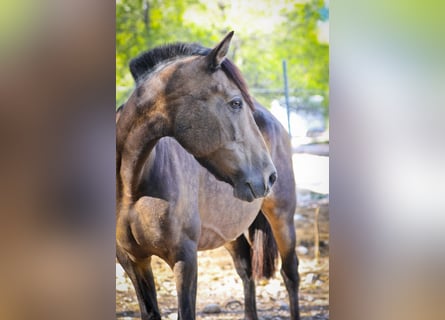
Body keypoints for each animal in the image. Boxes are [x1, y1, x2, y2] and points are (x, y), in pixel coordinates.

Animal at [116, 30, 300, 320]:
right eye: (235, 103)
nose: (269, 176)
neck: (131, 187)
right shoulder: (132, 260)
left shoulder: (185, 259)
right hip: (229, 230)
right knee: (246, 270)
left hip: (282, 217)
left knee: (290, 274)